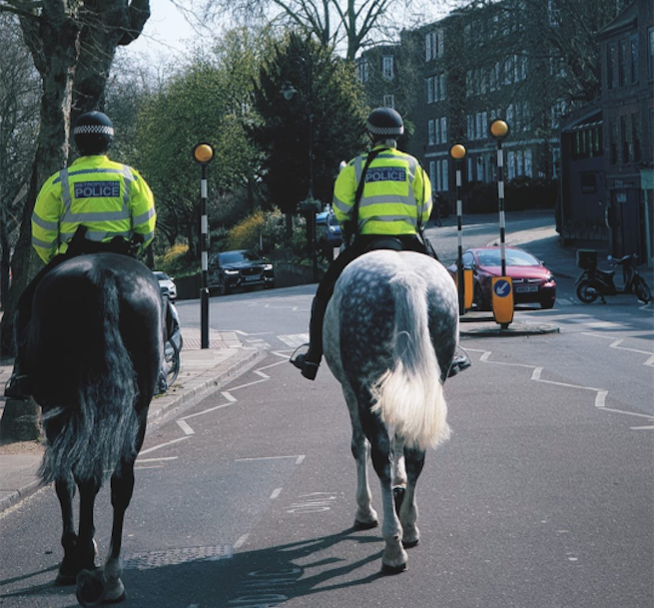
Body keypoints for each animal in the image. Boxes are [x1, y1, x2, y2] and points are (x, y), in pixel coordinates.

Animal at [24, 253, 164, 605]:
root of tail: (102, 274)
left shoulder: (54, 412)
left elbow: (66, 484)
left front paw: (73, 553)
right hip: (137, 409)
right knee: (121, 483)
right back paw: (112, 575)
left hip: (62, 403)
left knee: (83, 477)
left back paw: (85, 566)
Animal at [323, 249, 458, 573]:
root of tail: (403, 277)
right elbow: (401, 442)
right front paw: (401, 486)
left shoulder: (351, 390)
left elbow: (359, 446)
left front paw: (364, 510)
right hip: (432, 373)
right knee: (415, 453)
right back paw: (408, 528)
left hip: (366, 386)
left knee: (379, 456)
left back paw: (393, 547)